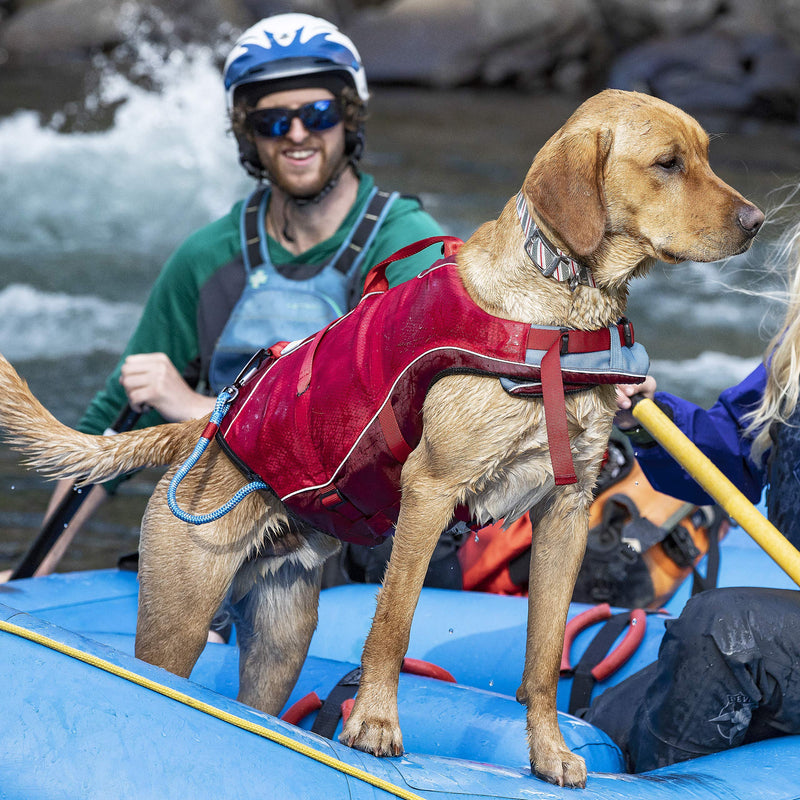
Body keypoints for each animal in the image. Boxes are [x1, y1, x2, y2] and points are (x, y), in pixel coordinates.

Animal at [0, 90, 764, 784]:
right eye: (667, 163)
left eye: (706, 155)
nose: (758, 221)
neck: (559, 309)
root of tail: (206, 427)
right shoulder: (430, 492)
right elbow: (393, 626)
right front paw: (372, 725)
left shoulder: (567, 513)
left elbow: (545, 654)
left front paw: (549, 754)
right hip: (179, 616)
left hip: (281, 637)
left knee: (259, 704)